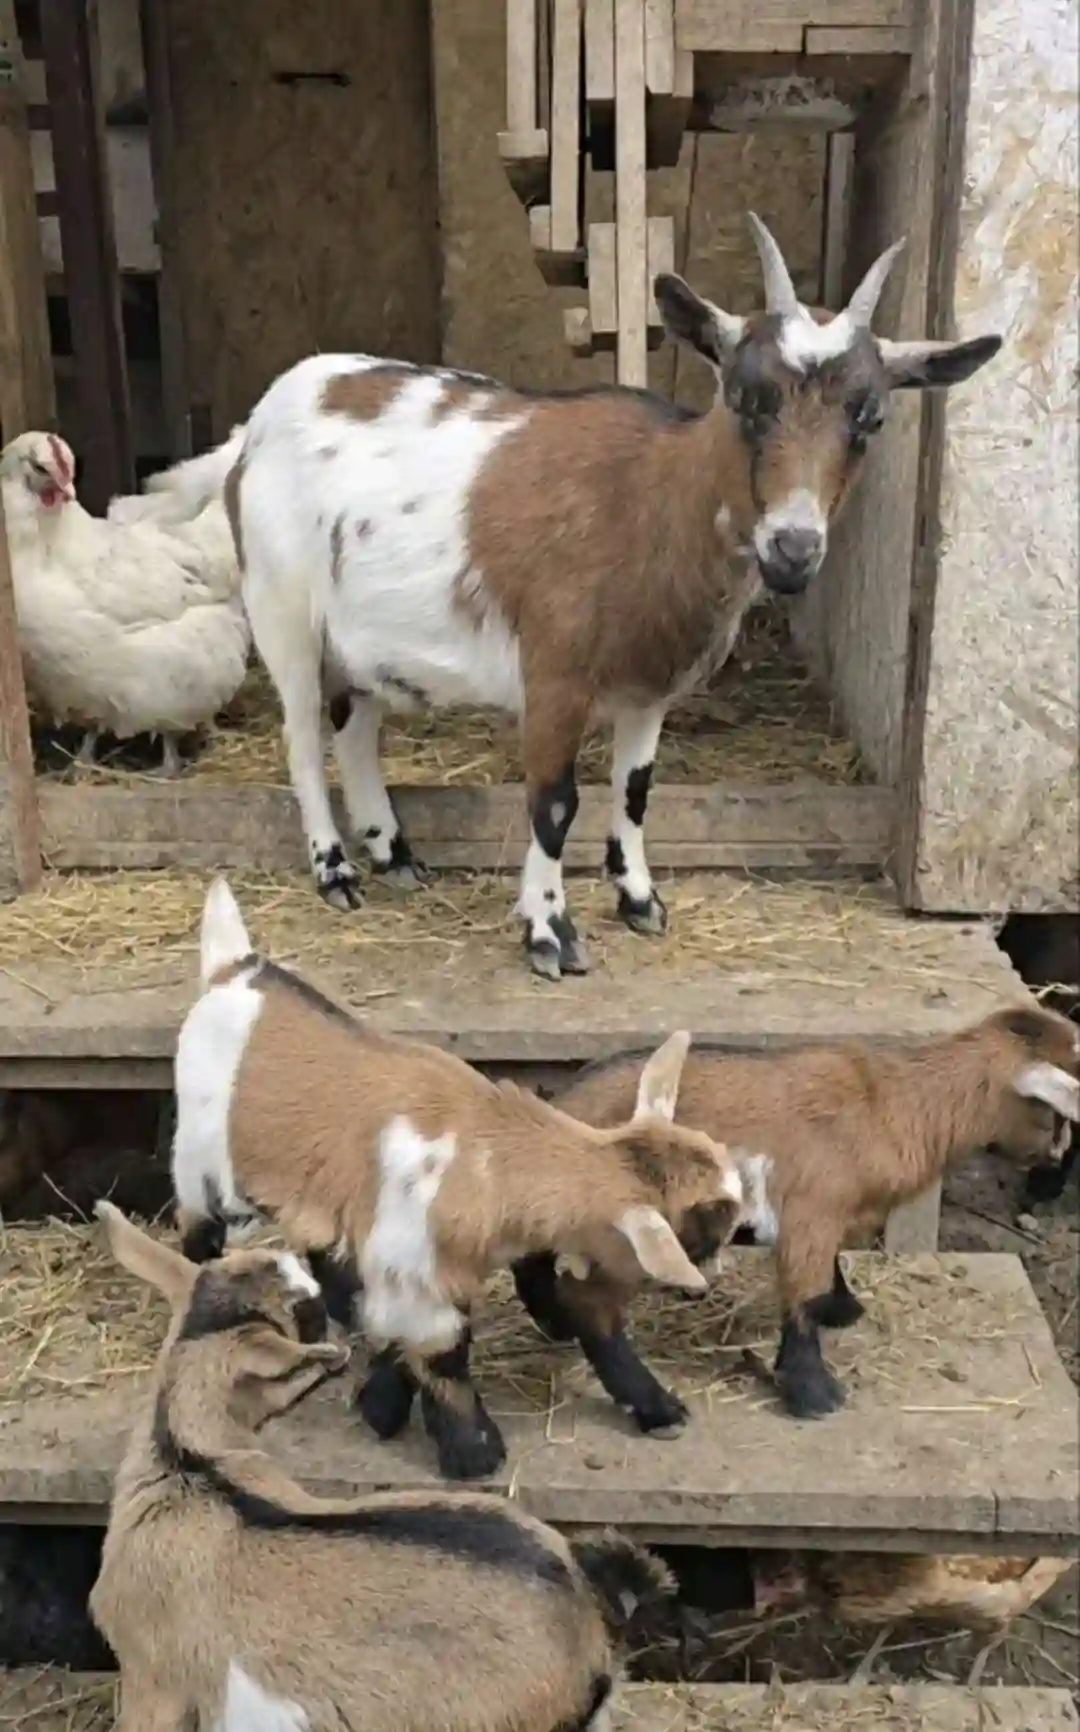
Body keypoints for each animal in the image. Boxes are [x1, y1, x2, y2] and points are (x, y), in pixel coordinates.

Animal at [167, 214, 1001, 981]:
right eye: (744, 396)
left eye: (872, 415)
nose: (793, 547)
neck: (647, 499)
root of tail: (257, 424)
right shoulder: (554, 674)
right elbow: (554, 800)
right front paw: (549, 934)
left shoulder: (650, 685)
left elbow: (633, 791)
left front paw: (639, 900)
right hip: (283, 610)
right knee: (304, 738)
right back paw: (335, 871)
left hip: (360, 635)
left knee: (354, 729)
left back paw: (393, 853)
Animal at [171, 876, 744, 1479]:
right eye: (705, 1225)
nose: (714, 1276)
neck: (486, 1154)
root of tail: (235, 968)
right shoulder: (417, 1269)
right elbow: (444, 1353)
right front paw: (472, 1452)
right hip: (197, 1154)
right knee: (198, 1225)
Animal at [511, 1005, 1080, 1423]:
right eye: (1053, 1114)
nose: (1054, 1164)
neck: (893, 1102)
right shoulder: (813, 1210)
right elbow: (802, 1295)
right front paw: (814, 1395)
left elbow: (827, 1274)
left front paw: (843, 1309)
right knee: (594, 1306)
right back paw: (657, 1410)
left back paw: (553, 1321)